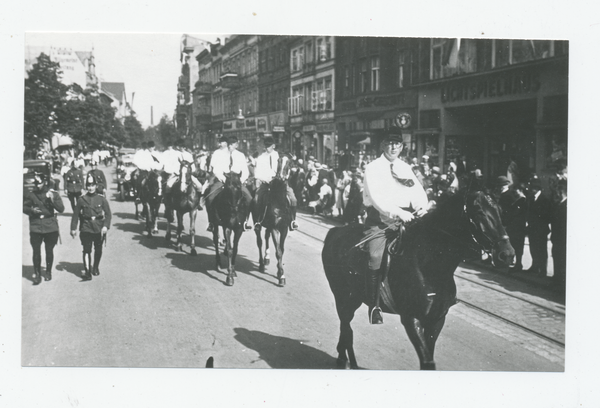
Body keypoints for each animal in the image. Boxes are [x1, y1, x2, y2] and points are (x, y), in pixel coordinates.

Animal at [252, 154, 292, 286]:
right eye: (278, 161)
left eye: (289, 163)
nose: (280, 177)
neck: (279, 203)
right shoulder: (275, 228)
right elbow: (278, 251)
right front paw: (282, 277)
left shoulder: (284, 228)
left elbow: (282, 250)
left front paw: (280, 272)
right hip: (258, 224)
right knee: (259, 241)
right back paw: (261, 264)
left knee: (266, 236)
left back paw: (266, 258)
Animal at [322, 187, 512, 370]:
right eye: (479, 211)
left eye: (500, 210)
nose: (507, 254)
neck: (430, 266)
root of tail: (335, 231)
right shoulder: (412, 319)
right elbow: (428, 362)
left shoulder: (436, 320)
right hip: (343, 296)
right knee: (346, 327)